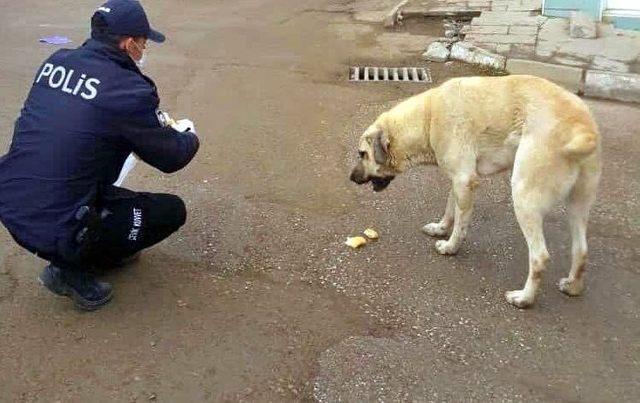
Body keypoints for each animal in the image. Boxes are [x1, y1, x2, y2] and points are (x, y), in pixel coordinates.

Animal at [350, 76, 600, 310]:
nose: (351, 178)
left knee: (539, 257)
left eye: (362, 154)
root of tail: (583, 128)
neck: (428, 118)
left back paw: (524, 298)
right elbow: (450, 208)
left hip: (523, 197)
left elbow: (460, 225)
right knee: (581, 249)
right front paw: (441, 228)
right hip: (577, 206)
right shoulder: (459, 179)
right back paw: (574, 286)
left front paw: (450, 247)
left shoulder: (463, 180)